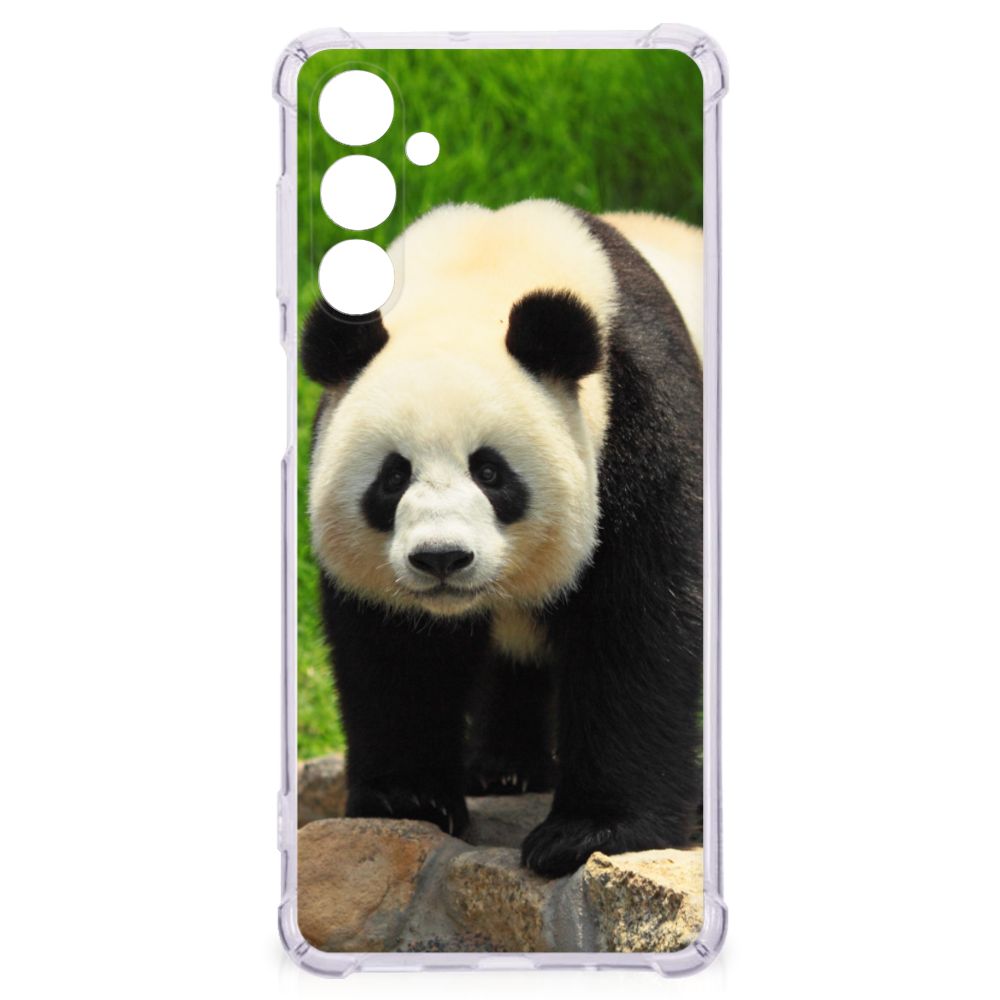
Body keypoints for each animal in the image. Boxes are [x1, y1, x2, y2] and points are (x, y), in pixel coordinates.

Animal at [302, 199, 703, 877]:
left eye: (490, 472)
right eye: (393, 476)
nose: (441, 558)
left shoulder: (640, 418)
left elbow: (640, 623)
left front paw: (588, 832)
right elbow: (394, 649)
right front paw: (408, 800)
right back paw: (505, 770)